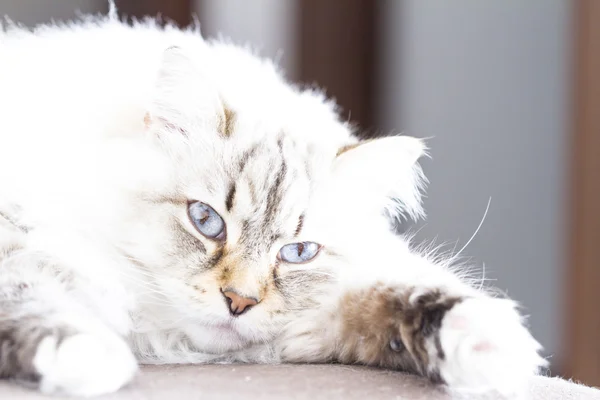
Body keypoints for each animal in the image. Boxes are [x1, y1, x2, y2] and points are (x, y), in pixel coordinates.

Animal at [0, 6, 548, 396]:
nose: (239, 302)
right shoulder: (20, 239)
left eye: (297, 253)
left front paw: (488, 345)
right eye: (206, 221)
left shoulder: (318, 320)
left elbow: (406, 294)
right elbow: (34, 298)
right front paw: (88, 356)